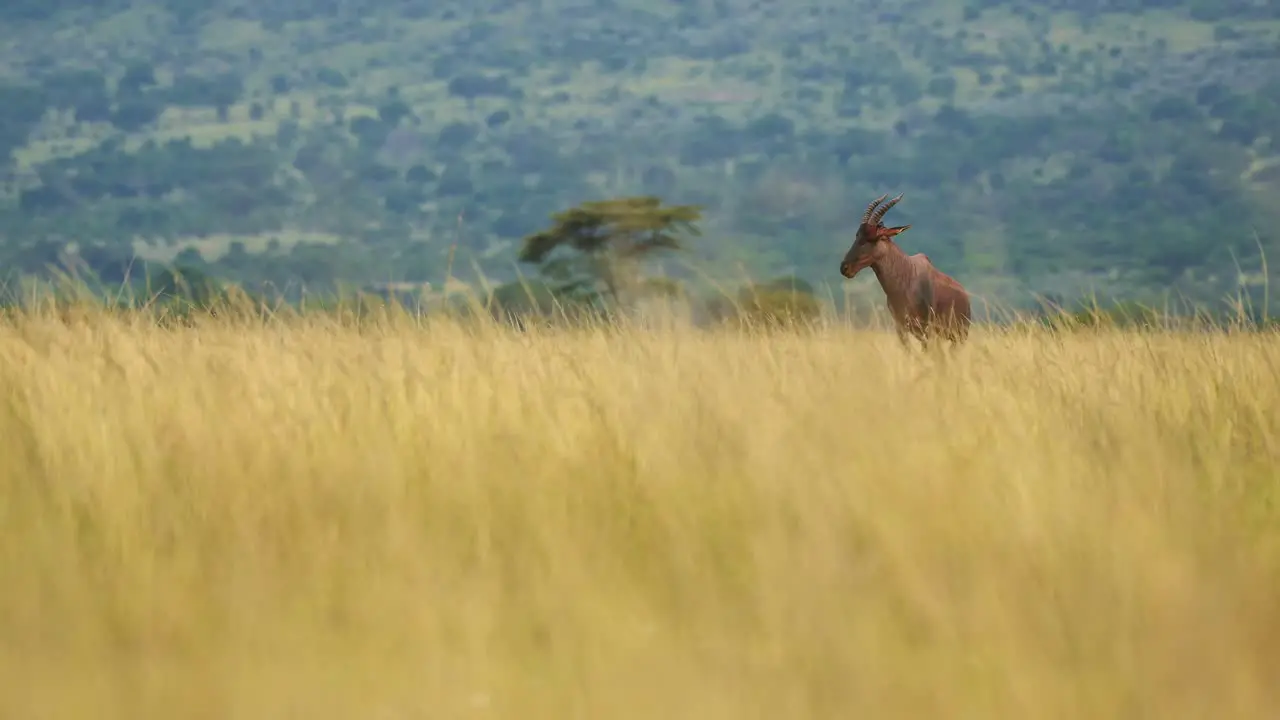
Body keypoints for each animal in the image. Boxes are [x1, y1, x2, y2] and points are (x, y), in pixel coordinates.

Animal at [839, 190, 967, 348]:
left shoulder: (926, 329)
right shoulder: (901, 328)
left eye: (873, 237)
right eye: (857, 235)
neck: (907, 275)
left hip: (958, 336)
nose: (845, 268)